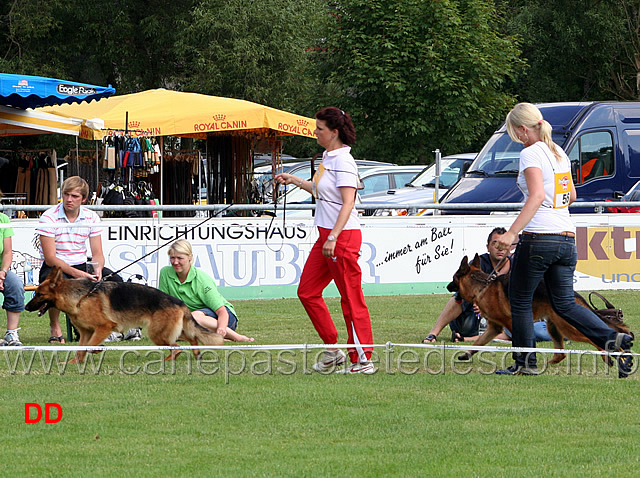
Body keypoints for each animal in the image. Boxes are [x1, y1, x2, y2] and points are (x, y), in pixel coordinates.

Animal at [25, 268, 225, 364]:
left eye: (39, 294)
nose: (26, 307)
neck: (81, 297)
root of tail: (179, 302)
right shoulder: (85, 333)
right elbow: (80, 349)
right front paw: (74, 363)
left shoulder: (104, 327)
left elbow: (90, 346)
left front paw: (97, 350)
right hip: (170, 330)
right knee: (191, 338)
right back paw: (195, 353)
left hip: (158, 333)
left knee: (177, 348)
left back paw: (169, 360)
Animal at [448, 256, 632, 364]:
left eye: (453, 278)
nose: (448, 286)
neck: (482, 287)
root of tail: (574, 295)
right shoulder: (494, 328)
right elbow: (478, 343)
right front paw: (465, 355)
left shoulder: (511, 324)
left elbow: (519, 343)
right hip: (554, 326)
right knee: (561, 354)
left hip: (568, 327)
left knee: (593, 337)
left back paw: (610, 354)